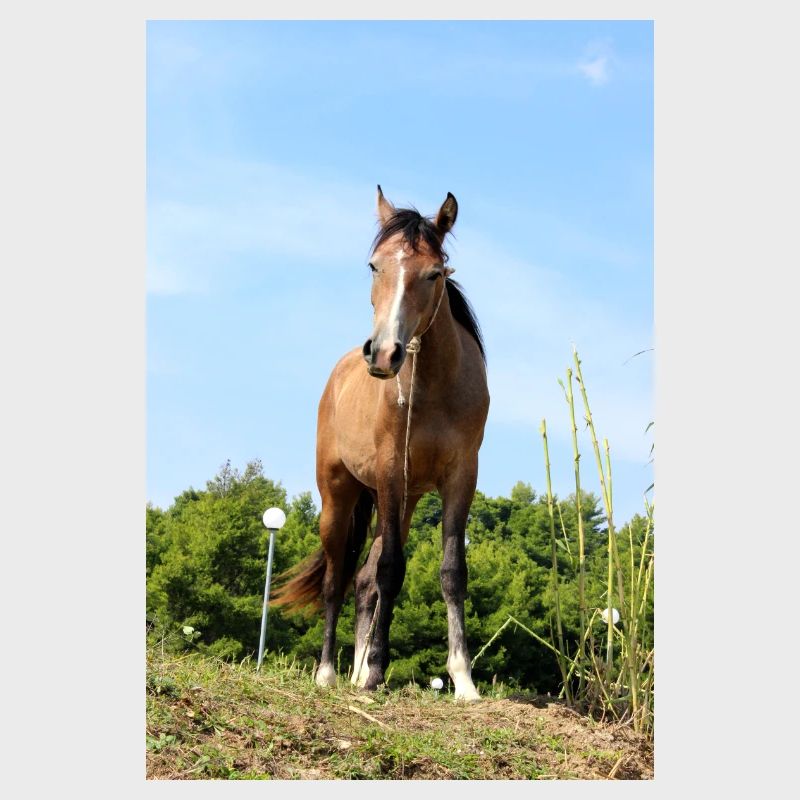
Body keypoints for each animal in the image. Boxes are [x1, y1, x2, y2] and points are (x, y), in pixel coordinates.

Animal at [272, 186, 489, 701]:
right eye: (374, 266)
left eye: (434, 273)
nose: (384, 353)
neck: (433, 386)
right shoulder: (391, 472)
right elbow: (391, 570)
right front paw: (374, 674)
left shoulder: (461, 477)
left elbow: (451, 572)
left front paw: (463, 679)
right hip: (340, 497)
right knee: (337, 581)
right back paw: (330, 673)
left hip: (403, 502)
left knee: (363, 580)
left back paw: (353, 670)